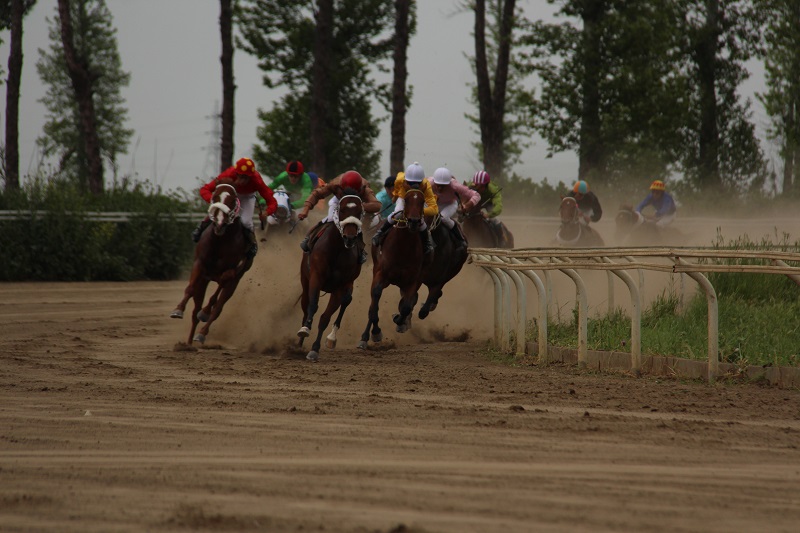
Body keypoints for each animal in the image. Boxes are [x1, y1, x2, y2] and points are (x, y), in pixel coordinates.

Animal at [172, 184, 250, 344]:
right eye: (215, 197)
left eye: (232, 200)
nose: (219, 224)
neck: (220, 241)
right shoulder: (199, 265)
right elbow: (190, 289)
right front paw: (178, 310)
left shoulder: (232, 272)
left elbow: (219, 292)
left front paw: (206, 312)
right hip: (203, 281)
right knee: (195, 311)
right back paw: (188, 343)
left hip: (233, 283)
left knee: (218, 308)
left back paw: (201, 332)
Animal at [296, 191, 366, 362]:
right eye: (342, 210)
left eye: (359, 211)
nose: (350, 238)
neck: (337, 250)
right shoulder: (316, 277)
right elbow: (312, 306)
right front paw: (305, 330)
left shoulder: (341, 287)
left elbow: (325, 318)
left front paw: (315, 349)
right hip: (305, 281)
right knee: (305, 306)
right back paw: (299, 342)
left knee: (346, 301)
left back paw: (330, 338)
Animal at [360, 188, 428, 350]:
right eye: (407, 200)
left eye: (422, 201)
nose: (414, 221)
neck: (403, 247)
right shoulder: (380, 275)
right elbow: (374, 303)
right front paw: (375, 333)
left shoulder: (413, 280)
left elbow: (406, 306)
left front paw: (399, 320)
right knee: (373, 305)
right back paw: (366, 336)